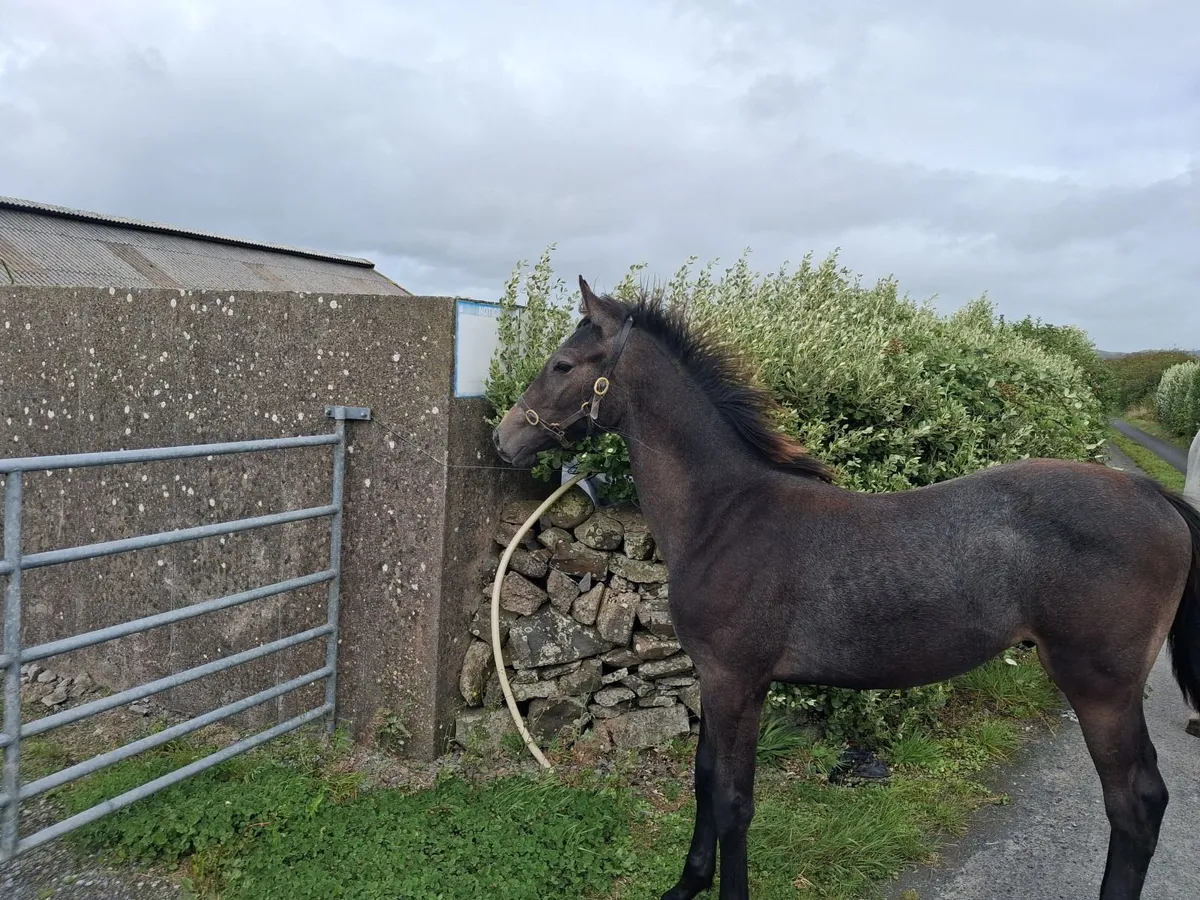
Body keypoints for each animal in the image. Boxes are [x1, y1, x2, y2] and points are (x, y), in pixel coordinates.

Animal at [492, 277, 1200, 900]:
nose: (504, 437)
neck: (726, 513)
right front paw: (685, 885)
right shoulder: (712, 679)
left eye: (562, 364)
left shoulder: (737, 681)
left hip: (1101, 688)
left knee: (1134, 803)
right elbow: (703, 781)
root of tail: (1152, 493)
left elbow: (733, 801)